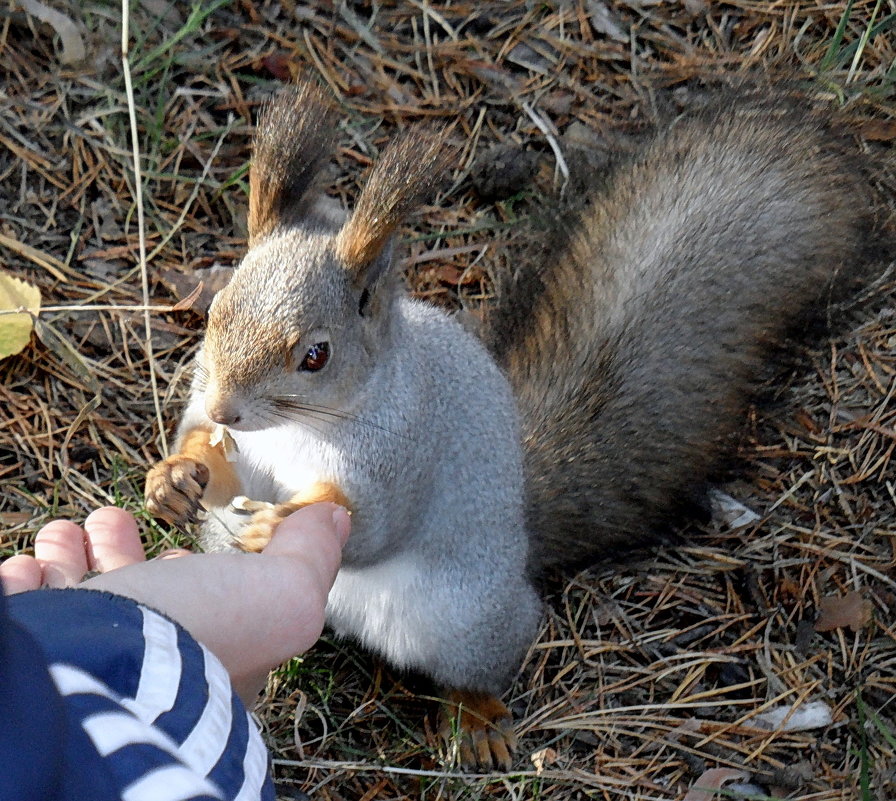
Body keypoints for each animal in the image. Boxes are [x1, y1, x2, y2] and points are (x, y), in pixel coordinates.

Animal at [144, 79, 880, 768]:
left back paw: (477, 718)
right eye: (216, 310)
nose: (226, 410)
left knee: (492, 653)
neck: (301, 426)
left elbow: (372, 526)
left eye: (315, 355)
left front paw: (280, 521)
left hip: (470, 616)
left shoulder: (409, 451)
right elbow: (218, 465)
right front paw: (175, 475)